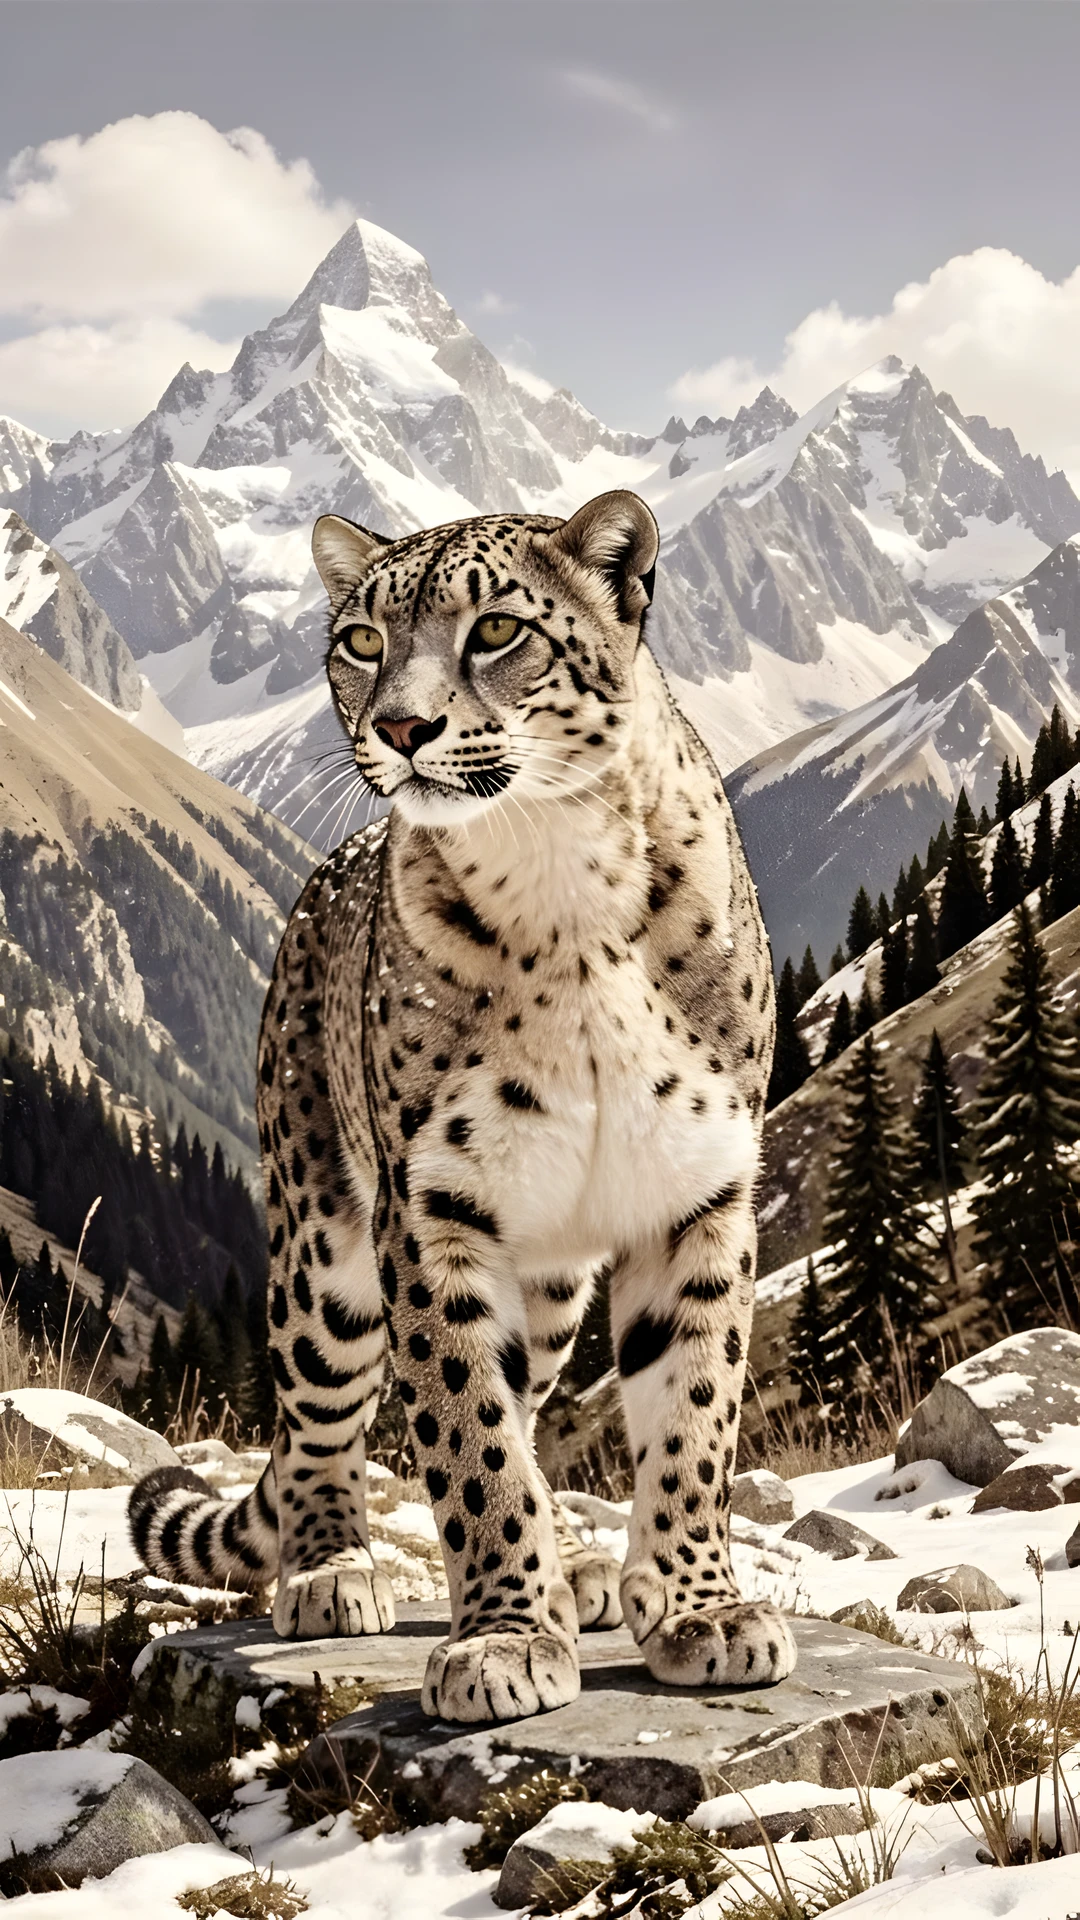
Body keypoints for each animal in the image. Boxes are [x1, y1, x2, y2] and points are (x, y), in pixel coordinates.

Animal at [129, 488, 794, 1724]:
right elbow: (467, 1434)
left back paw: (580, 1573)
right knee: (321, 1421)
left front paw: (699, 1610)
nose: (401, 727)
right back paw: (334, 1572)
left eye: (495, 631)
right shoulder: (432, 1208)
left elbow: (691, 1411)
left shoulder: (700, 1192)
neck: (567, 888)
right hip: (323, 1250)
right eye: (361, 640)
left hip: (551, 1279)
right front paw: (504, 1642)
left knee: (529, 1392)